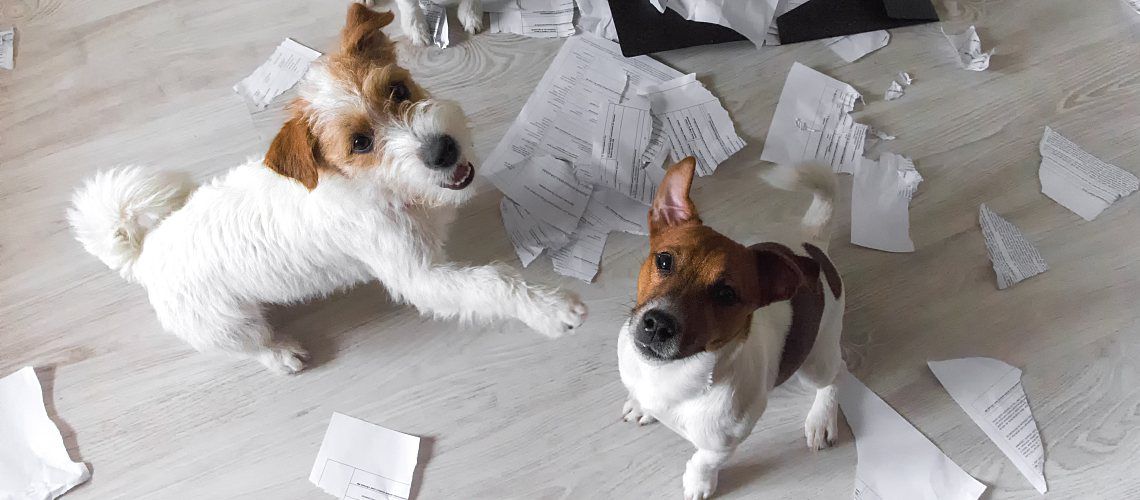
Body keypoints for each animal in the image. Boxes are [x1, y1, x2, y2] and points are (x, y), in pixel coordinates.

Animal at [68, 2, 588, 371]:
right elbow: (492, 282)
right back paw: (282, 355)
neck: (377, 187)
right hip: (227, 325)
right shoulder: (421, 278)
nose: (444, 150)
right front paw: (550, 308)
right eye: (360, 142)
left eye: (398, 89)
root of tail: (144, 254)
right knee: (250, 346)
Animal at [615, 158, 848, 498]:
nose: (658, 324)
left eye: (726, 295)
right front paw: (640, 404)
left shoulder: (725, 442)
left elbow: (704, 460)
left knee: (835, 375)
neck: (671, 377)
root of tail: (811, 242)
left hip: (815, 359)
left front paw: (698, 482)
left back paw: (822, 418)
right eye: (664, 261)